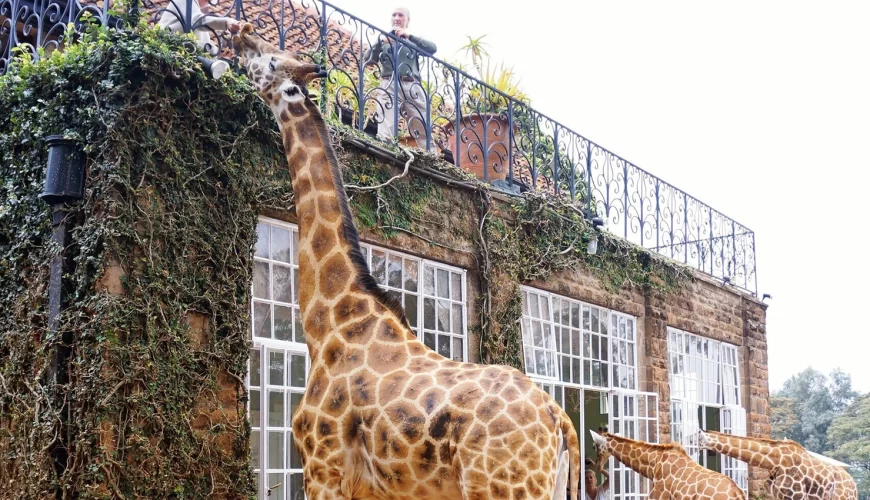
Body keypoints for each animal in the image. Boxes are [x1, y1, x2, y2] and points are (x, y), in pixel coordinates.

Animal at [232, 23, 581, 500]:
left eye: (270, 60)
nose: (240, 34)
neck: (329, 325)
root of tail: (559, 420)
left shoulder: (323, 469)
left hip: (503, 488)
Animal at [698, 430, 858, 500]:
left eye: (696, 440)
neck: (773, 460)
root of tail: (854, 484)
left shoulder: (796, 496)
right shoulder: (776, 496)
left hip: (843, 498)